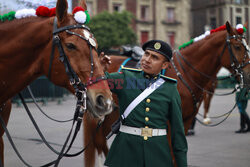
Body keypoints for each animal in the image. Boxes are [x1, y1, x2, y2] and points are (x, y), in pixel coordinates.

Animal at [82, 21, 250, 166]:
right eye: (237, 46)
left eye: (246, 47)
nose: (248, 74)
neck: (185, 73)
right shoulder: (169, 122)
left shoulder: (184, 120)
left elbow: (177, 151)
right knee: (99, 142)